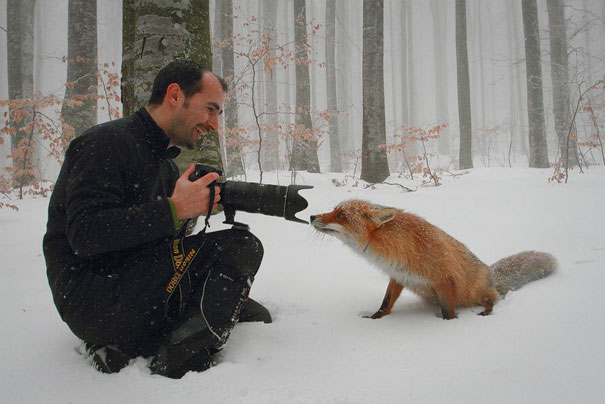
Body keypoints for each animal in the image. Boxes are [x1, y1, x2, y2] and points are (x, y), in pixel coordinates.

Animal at [312, 199, 556, 318]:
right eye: (333, 210)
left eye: (341, 216)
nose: (312, 216)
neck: (398, 247)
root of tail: (491, 273)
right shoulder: (398, 276)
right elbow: (385, 303)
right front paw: (375, 319)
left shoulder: (444, 280)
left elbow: (449, 313)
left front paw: (447, 327)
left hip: (476, 292)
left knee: (493, 300)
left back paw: (487, 312)